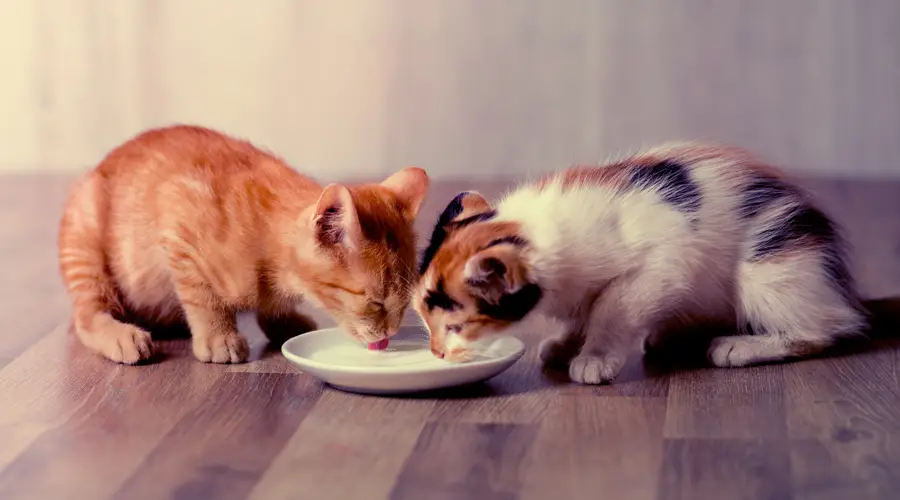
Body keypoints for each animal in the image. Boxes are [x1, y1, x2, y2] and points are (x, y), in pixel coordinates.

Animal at [58, 126, 430, 364]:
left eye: (403, 305)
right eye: (375, 303)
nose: (391, 333)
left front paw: (282, 320)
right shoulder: (178, 223)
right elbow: (204, 297)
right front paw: (217, 337)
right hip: (84, 236)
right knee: (86, 314)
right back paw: (122, 336)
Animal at [414, 143, 864, 384]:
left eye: (455, 327)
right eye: (425, 322)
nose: (436, 353)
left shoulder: (660, 265)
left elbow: (610, 310)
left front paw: (594, 359)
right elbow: (584, 310)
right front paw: (564, 344)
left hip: (770, 268)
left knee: (826, 330)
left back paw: (738, 346)